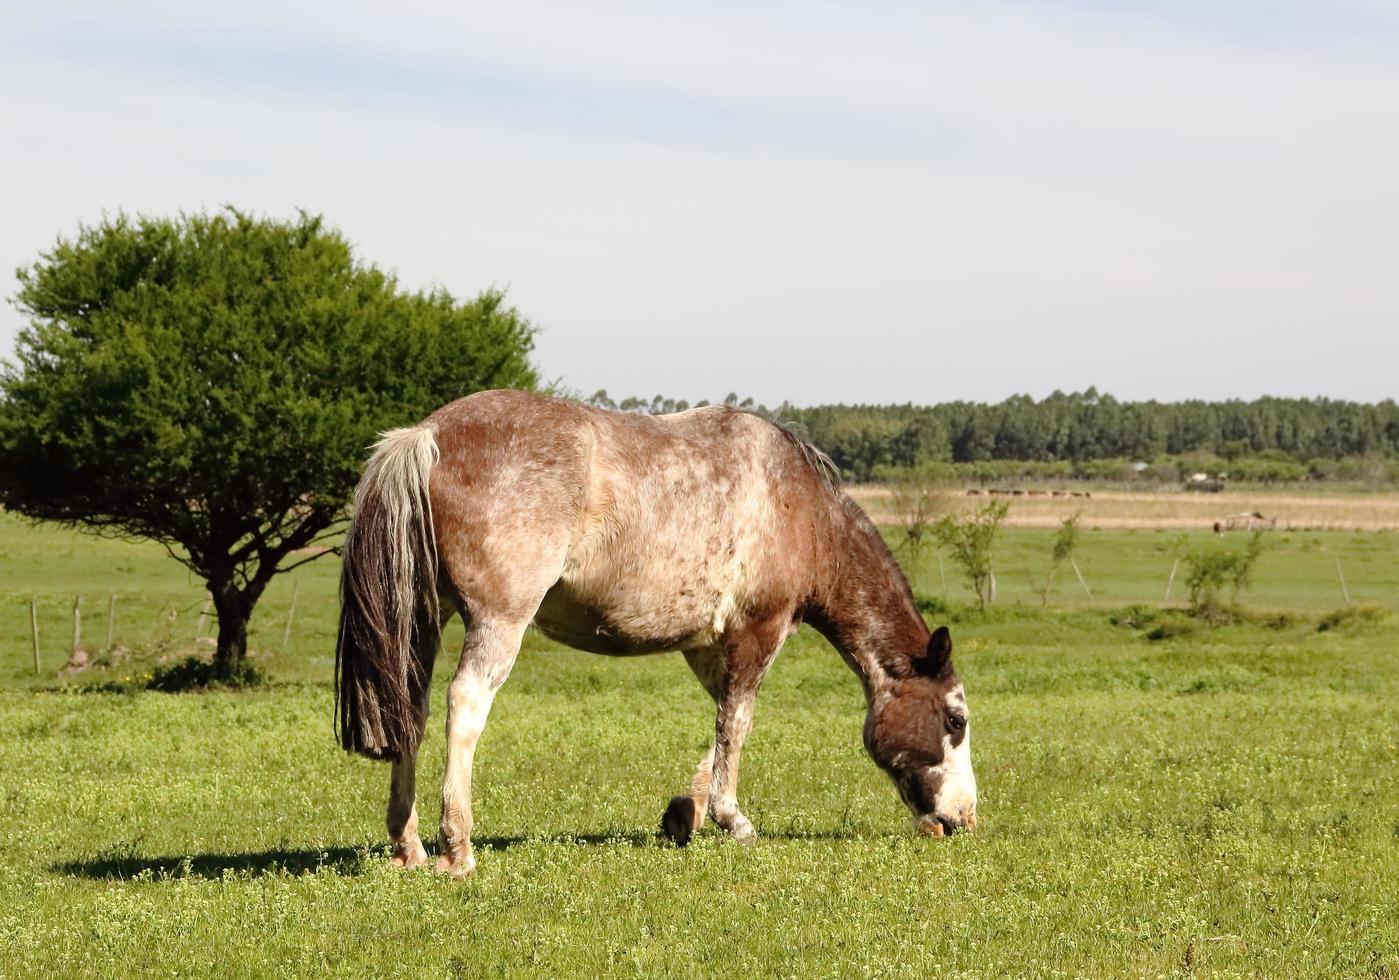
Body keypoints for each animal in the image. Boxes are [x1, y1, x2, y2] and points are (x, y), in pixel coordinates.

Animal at [334, 385, 979, 877]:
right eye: (955, 720)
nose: (963, 819)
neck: (802, 510)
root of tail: (427, 434)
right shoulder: (758, 632)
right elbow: (737, 725)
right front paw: (732, 819)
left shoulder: (707, 646)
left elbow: (720, 728)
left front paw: (686, 811)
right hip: (497, 623)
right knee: (463, 707)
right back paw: (457, 847)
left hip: (425, 616)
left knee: (409, 710)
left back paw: (409, 846)